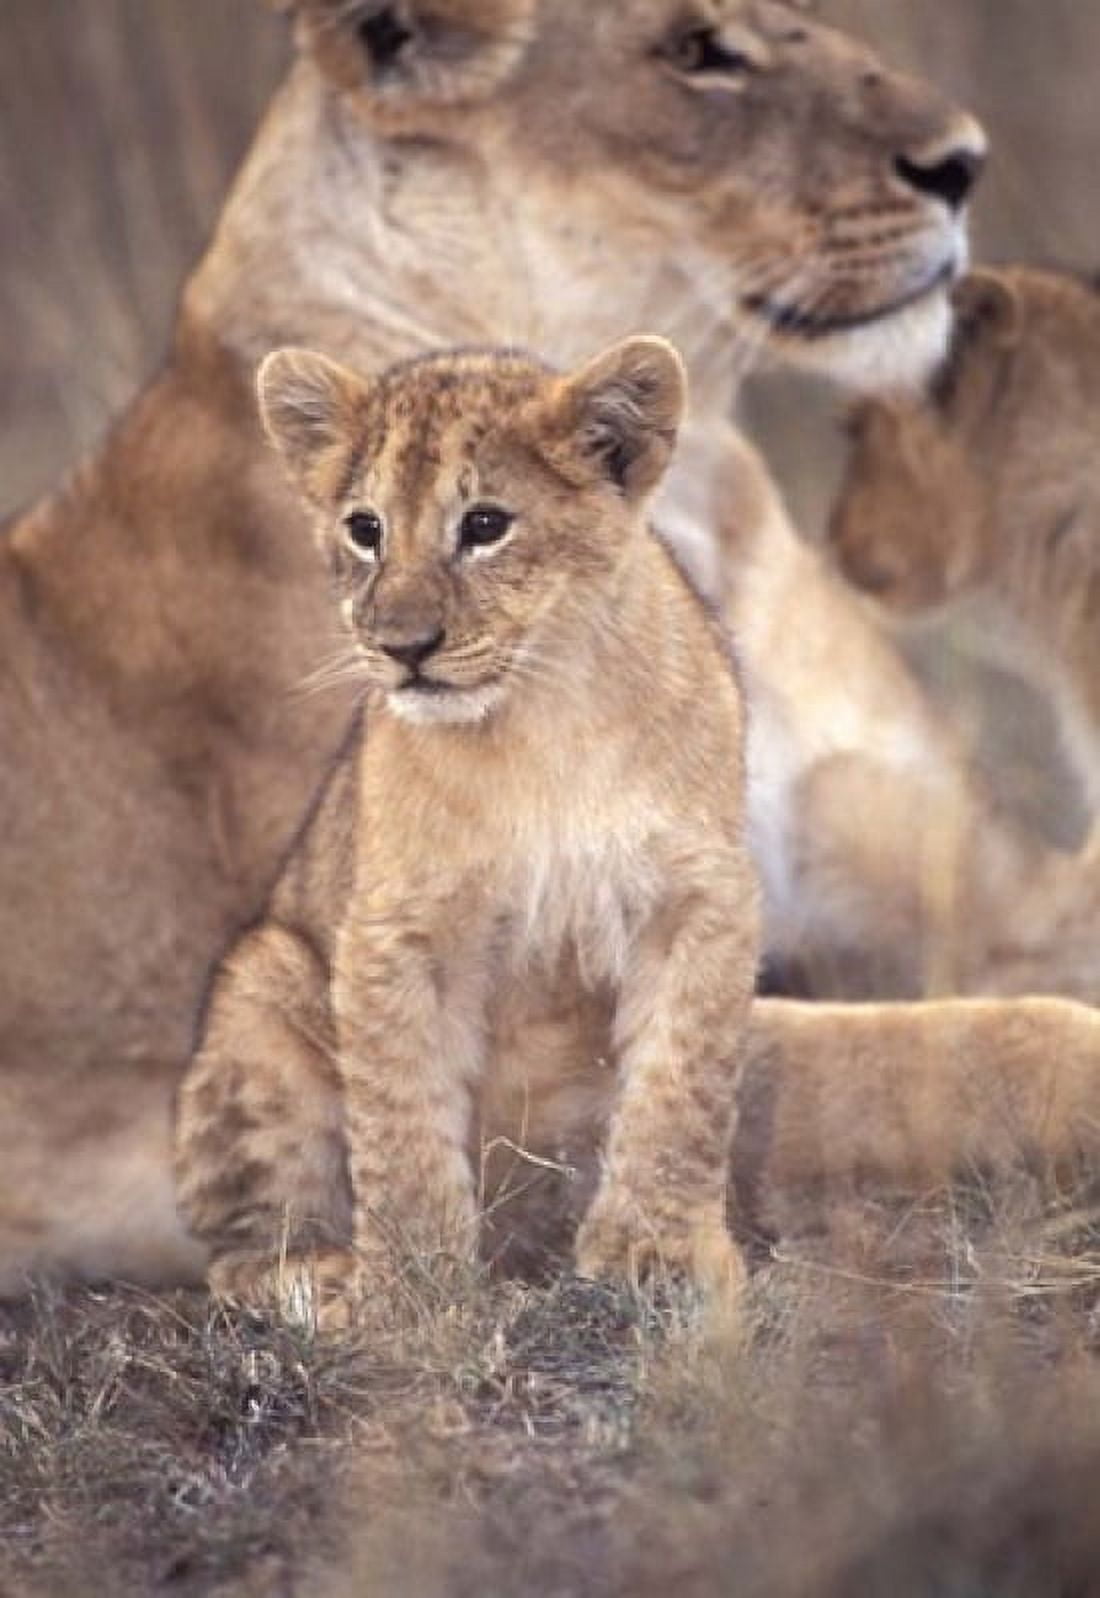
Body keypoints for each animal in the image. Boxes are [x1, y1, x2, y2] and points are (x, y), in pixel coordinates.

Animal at [6, 0, 1085, 1294]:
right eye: (693, 52)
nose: (961, 163)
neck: (691, 508)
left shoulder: (954, 882)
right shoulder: (531, 1063)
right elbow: (982, 1044)